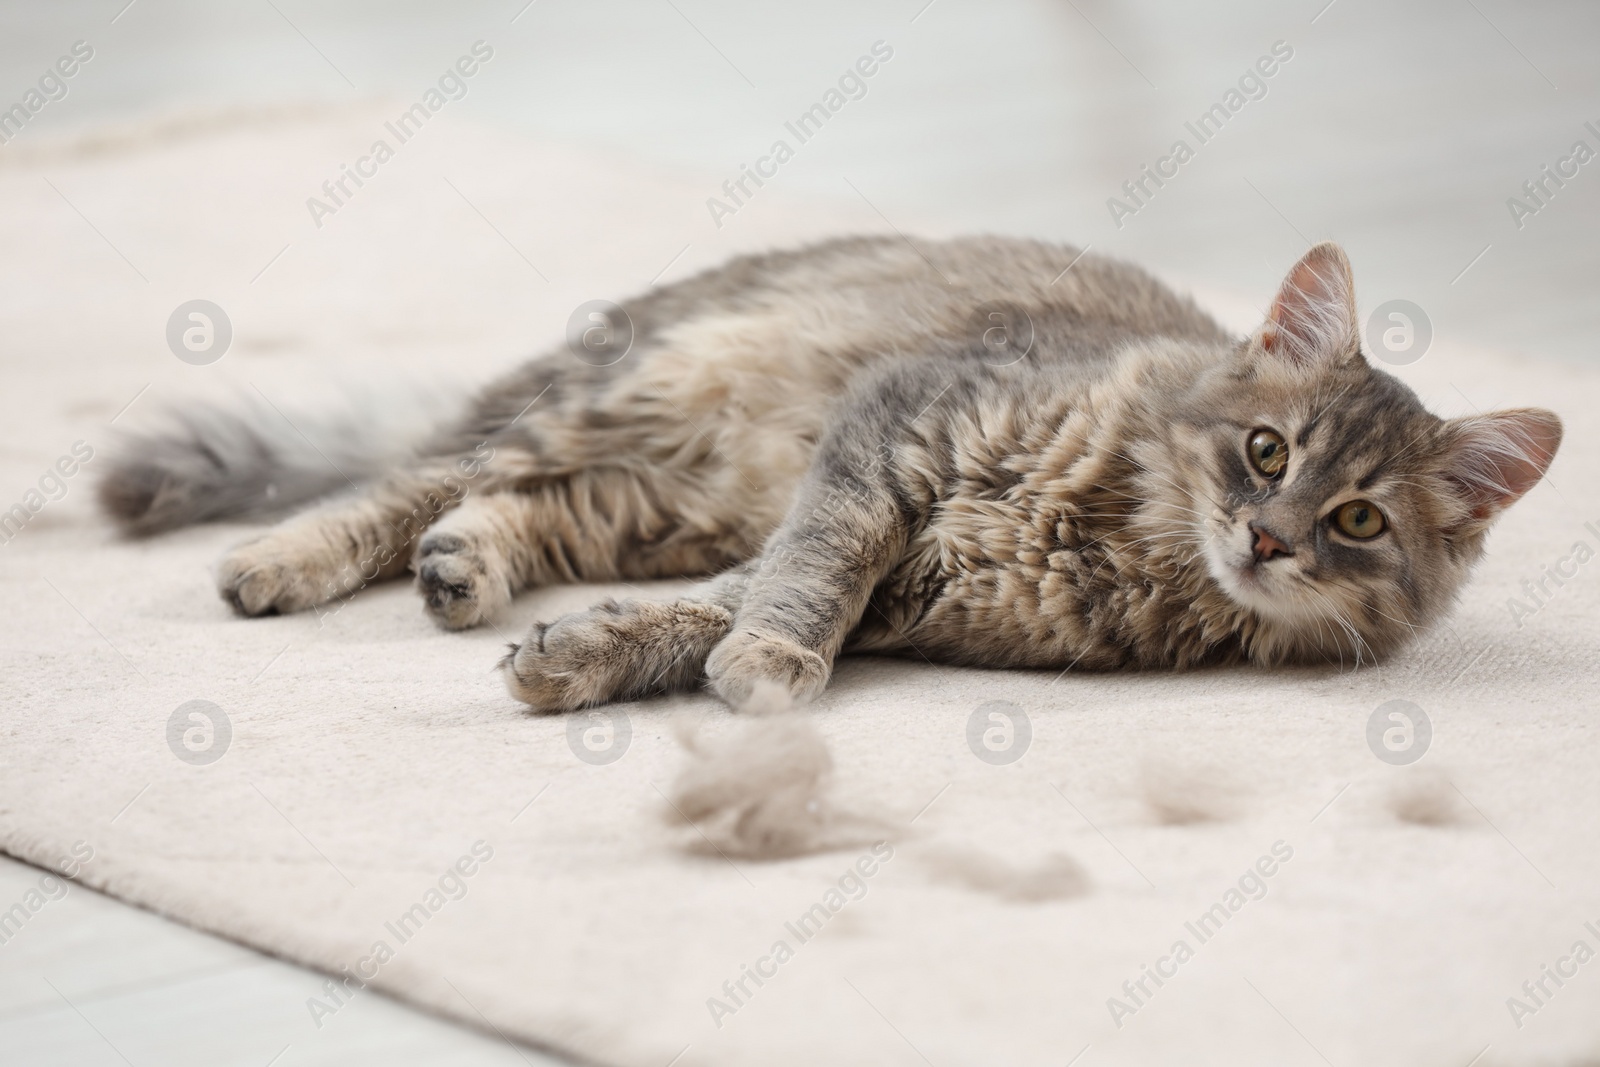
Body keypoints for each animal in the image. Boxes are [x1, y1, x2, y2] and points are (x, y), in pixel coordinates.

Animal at [96, 238, 1561, 713]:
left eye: (1356, 518)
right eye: (1268, 453)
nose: (1267, 539)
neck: (1122, 528)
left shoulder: (910, 580)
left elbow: (711, 612)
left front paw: (593, 658)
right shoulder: (889, 436)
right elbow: (810, 574)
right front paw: (764, 665)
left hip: (666, 498)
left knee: (524, 511)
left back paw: (470, 568)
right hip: (631, 399)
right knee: (416, 474)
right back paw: (281, 559)